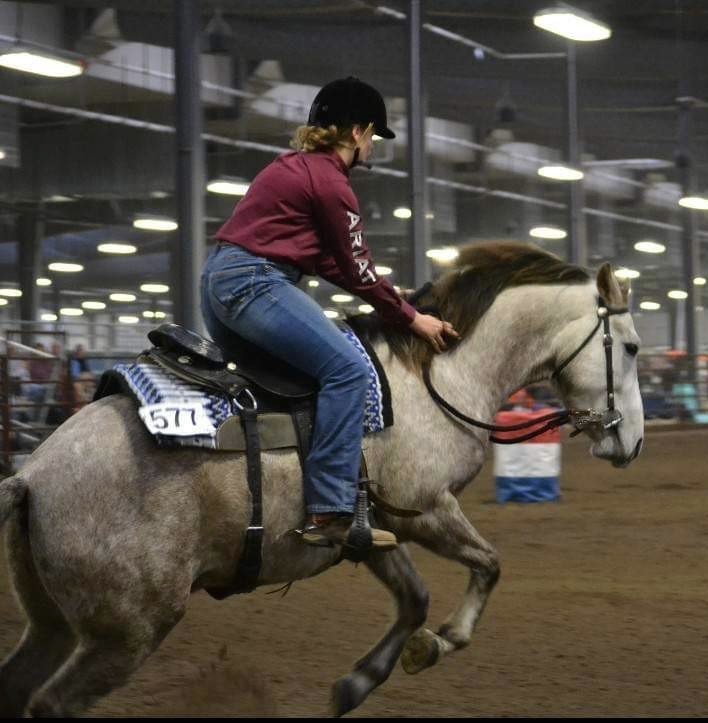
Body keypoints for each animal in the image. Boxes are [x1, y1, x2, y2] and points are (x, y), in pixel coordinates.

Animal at [0, 245, 640, 720]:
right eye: (632, 347)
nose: (630, 443)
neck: (434, 378)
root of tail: (31, 476)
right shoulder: (425, 510)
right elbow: (488, 566)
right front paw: (437, 644)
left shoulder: (371, 527)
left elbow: (414, 598)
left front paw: (355, 684)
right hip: (128, 630)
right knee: (52, 703)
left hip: (52, 623)